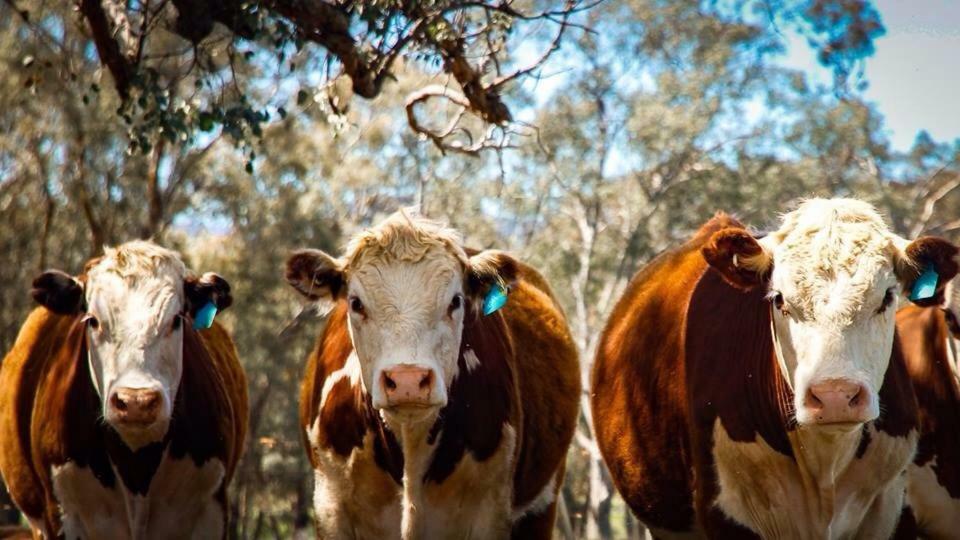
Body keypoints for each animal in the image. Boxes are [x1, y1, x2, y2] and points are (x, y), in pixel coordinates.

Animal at [0, 242, 251, 540]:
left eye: (176, 320)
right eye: (93, 321)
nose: (136, 401)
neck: (137, 469)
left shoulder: (210, 509)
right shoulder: (61, 512)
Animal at [284, 211, 580, 540]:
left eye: (456, 301)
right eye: (356, 302)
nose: (408, 381)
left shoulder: (490, 510)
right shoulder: (331, 507)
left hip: (542, 507)